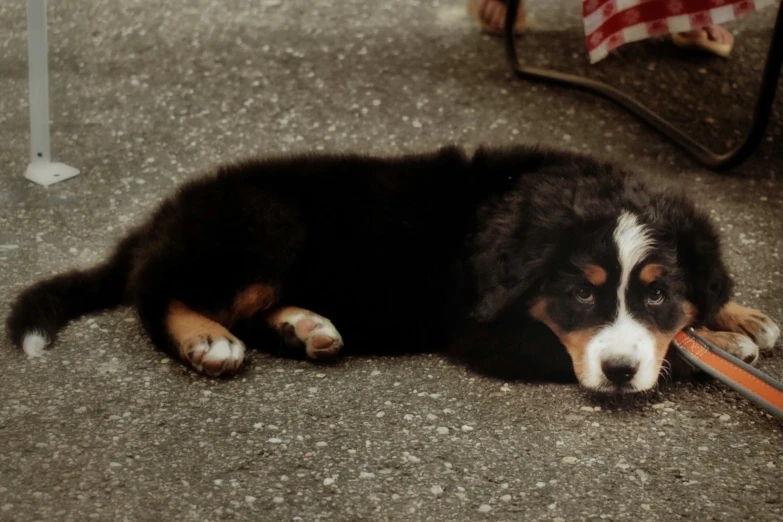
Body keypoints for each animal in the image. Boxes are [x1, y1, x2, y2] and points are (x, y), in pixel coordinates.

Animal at [7, 145, 783, 390]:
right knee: (158, 291)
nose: (619, 375)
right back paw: (208, 340)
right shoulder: (487, 333)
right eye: (577, 294)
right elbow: (656, 358)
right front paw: (721, 345)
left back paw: (304, 326)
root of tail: (158, 219)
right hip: (263, 224)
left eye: (657, 294)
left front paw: (735, 317)